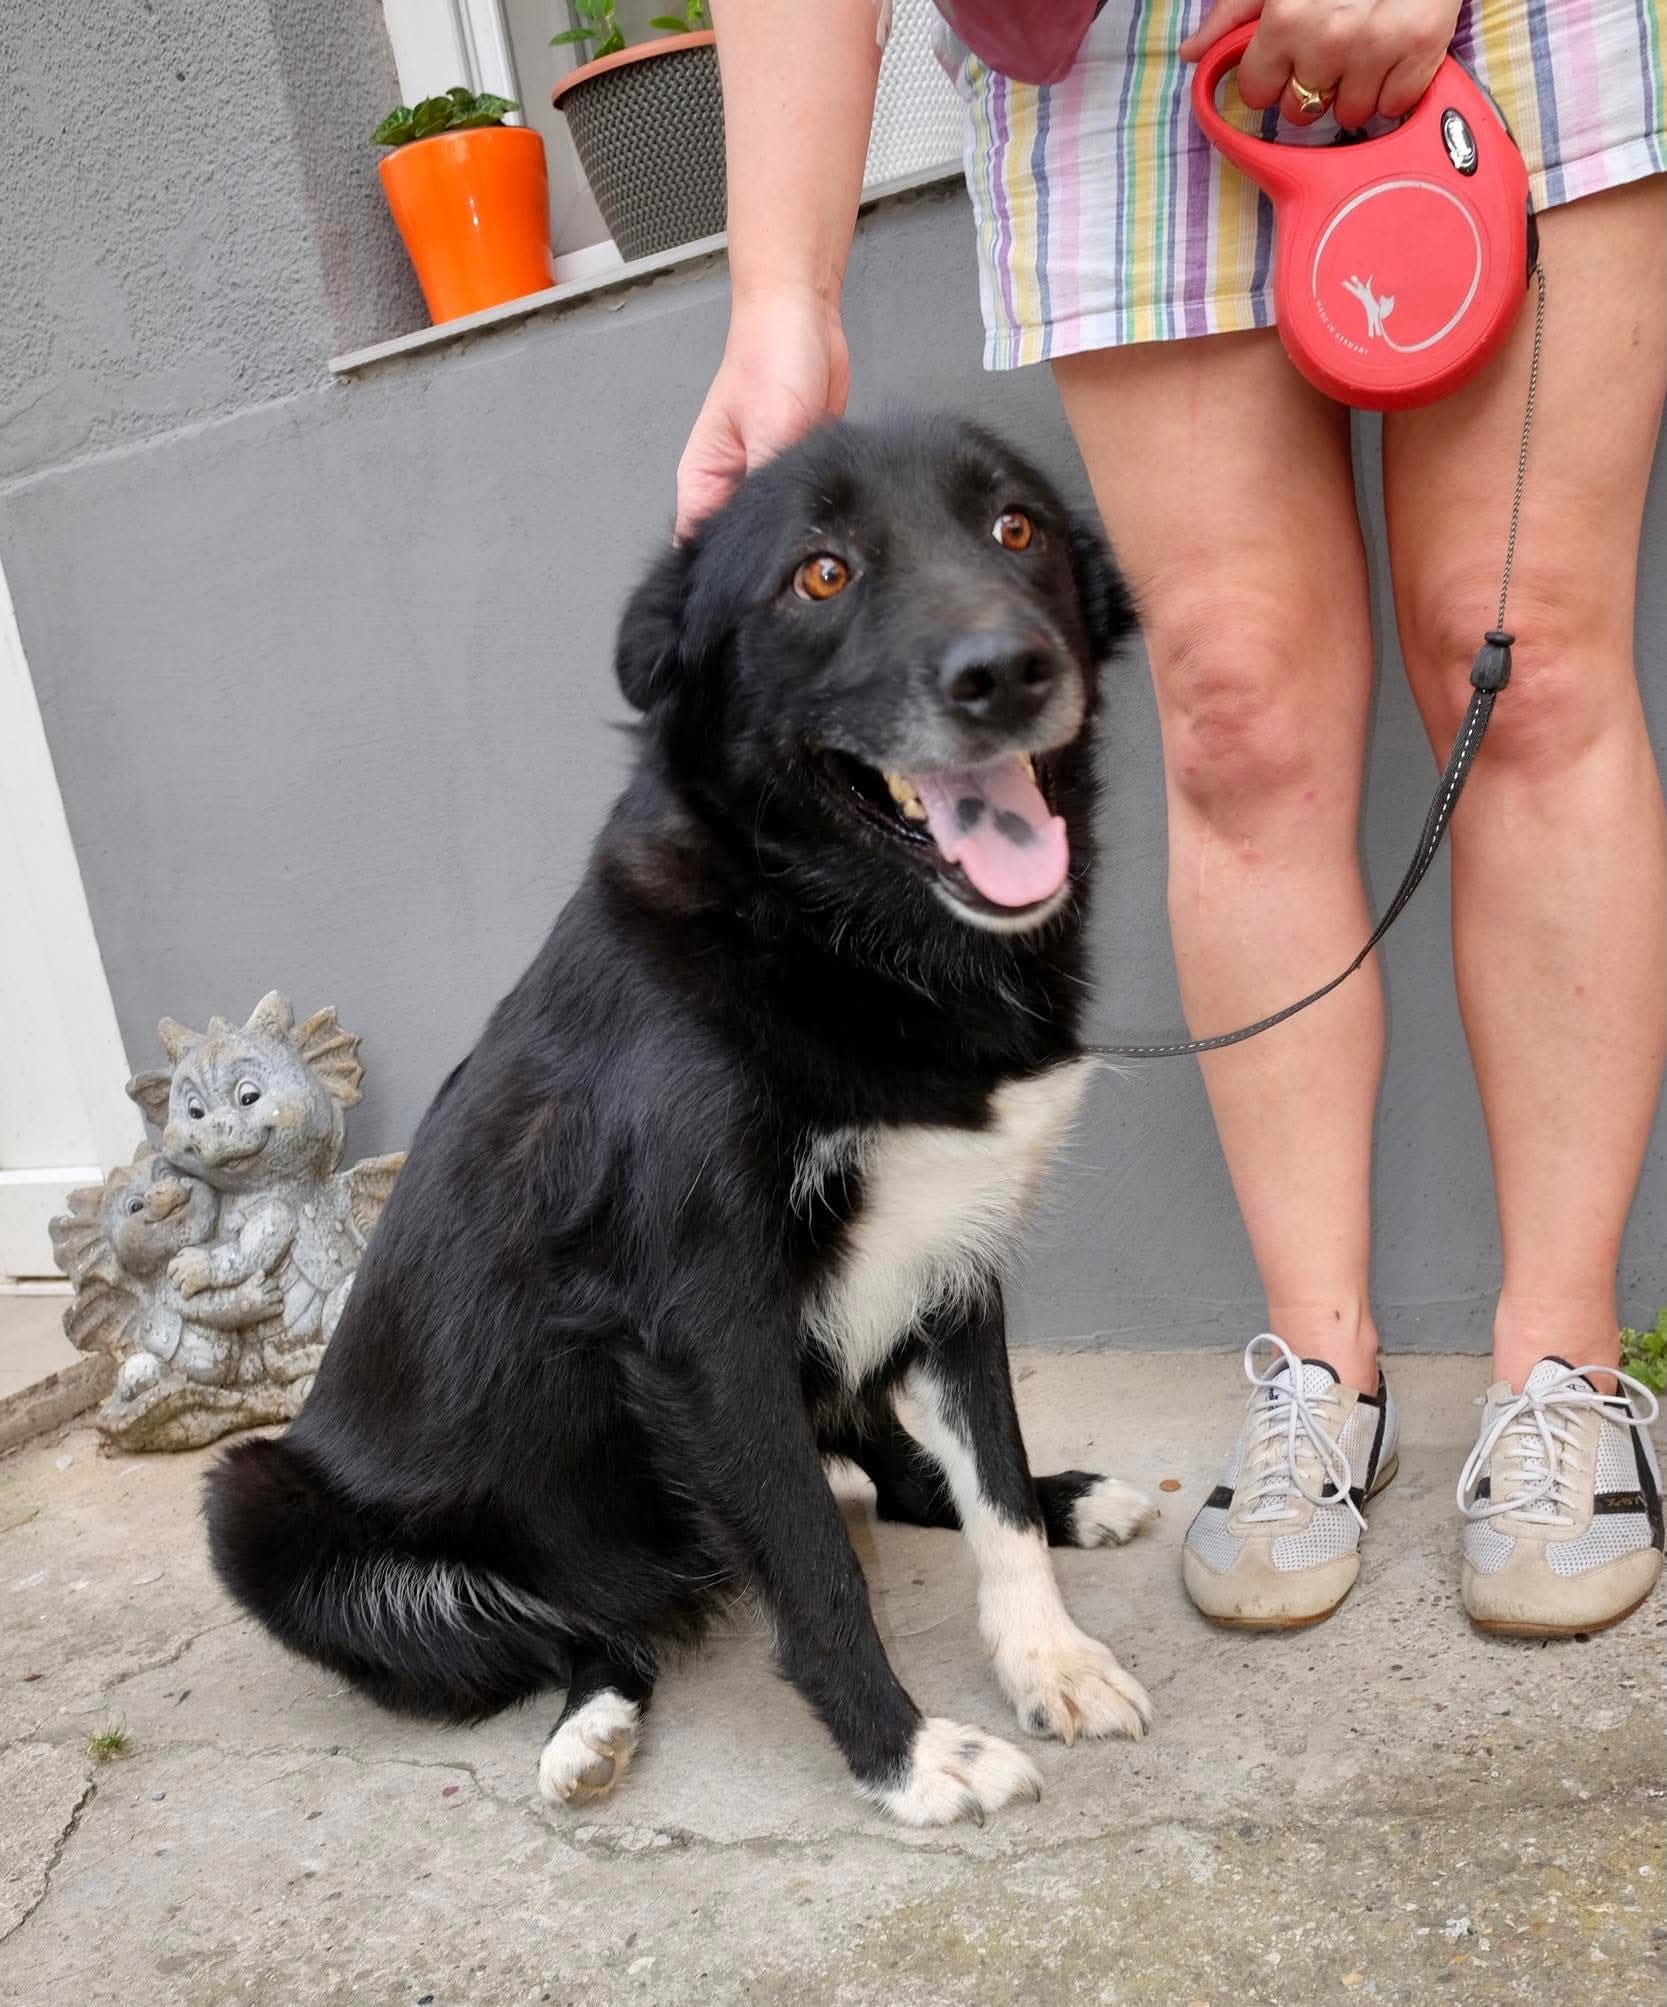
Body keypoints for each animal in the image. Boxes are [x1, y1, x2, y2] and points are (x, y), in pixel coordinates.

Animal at [206, 415, 1155, 1827]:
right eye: (820, 574)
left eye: (1015, 527)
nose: (1008, 672)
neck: (825, 931)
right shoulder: (706, 1326)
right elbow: (814, 1570)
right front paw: (903, 1756)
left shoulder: (953, 1255)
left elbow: (990, 1485)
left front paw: (1048, 1654)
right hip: (261, 1511)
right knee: (582, 1631)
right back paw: (588, 1726)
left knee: (888, 1472)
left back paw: (1069, 1498)